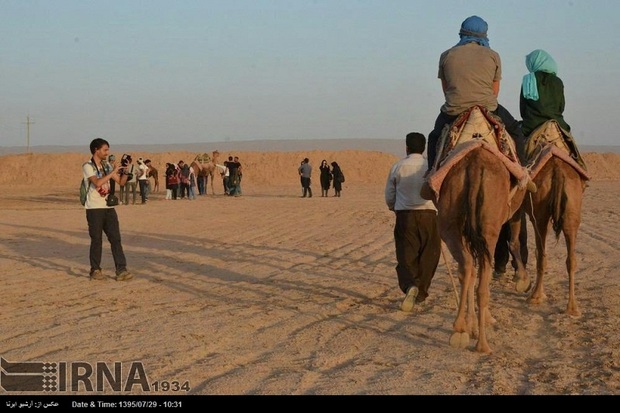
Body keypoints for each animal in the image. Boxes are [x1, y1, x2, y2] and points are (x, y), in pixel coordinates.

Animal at [516, 119, 588, 316]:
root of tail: (558, 170)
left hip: (540, 215)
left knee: (541, 255)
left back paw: (535, 297)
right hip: (572, 210)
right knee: (571, 259)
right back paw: (572, 307)